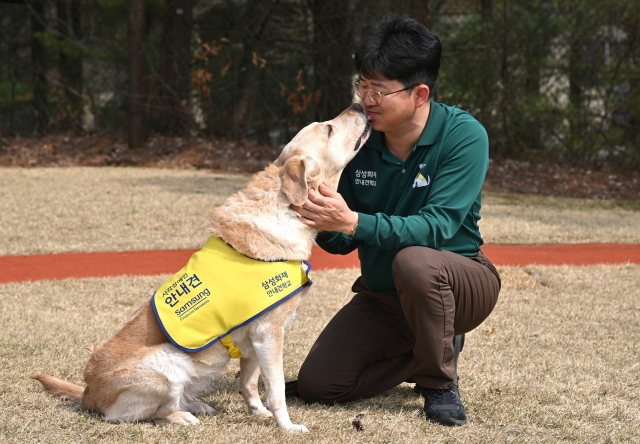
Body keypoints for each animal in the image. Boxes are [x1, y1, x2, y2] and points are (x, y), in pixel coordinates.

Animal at [32, 103, 370, 430]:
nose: (359, 106)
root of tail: (88, 393)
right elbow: (277, 391)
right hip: (168, 364)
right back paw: (183, 416)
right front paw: (286, 426)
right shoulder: (269, 333)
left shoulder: (253, 340)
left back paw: (195, 405)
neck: (285, 209)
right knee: (143, 414)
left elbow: (249, 384)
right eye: (328, 128)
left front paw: (259, 414)